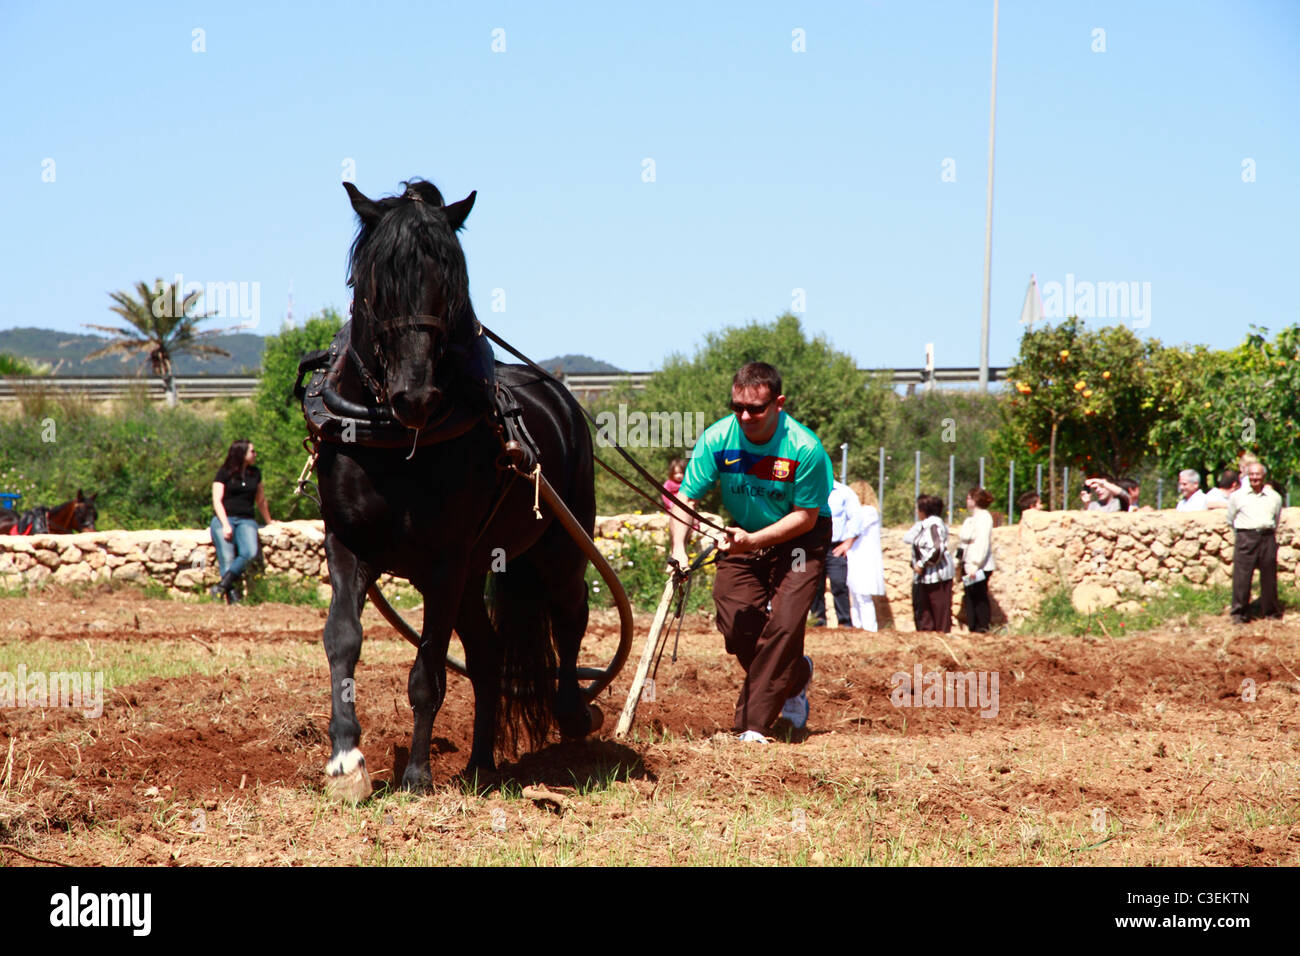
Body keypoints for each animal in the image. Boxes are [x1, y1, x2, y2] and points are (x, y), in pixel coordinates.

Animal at [314, 179, 603, 801]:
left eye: (450, 283)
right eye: (377, 283)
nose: (416, 396)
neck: (394, 442)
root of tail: (559, 395)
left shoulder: (444, 562)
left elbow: (428, 670)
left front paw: (418, 775)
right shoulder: (348, 544)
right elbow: (343, 638)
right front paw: (347, 761)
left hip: (557, 548)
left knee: (569, 616)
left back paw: (571, 714)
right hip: (477, 572)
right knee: (488, 654)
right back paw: (479, 764)